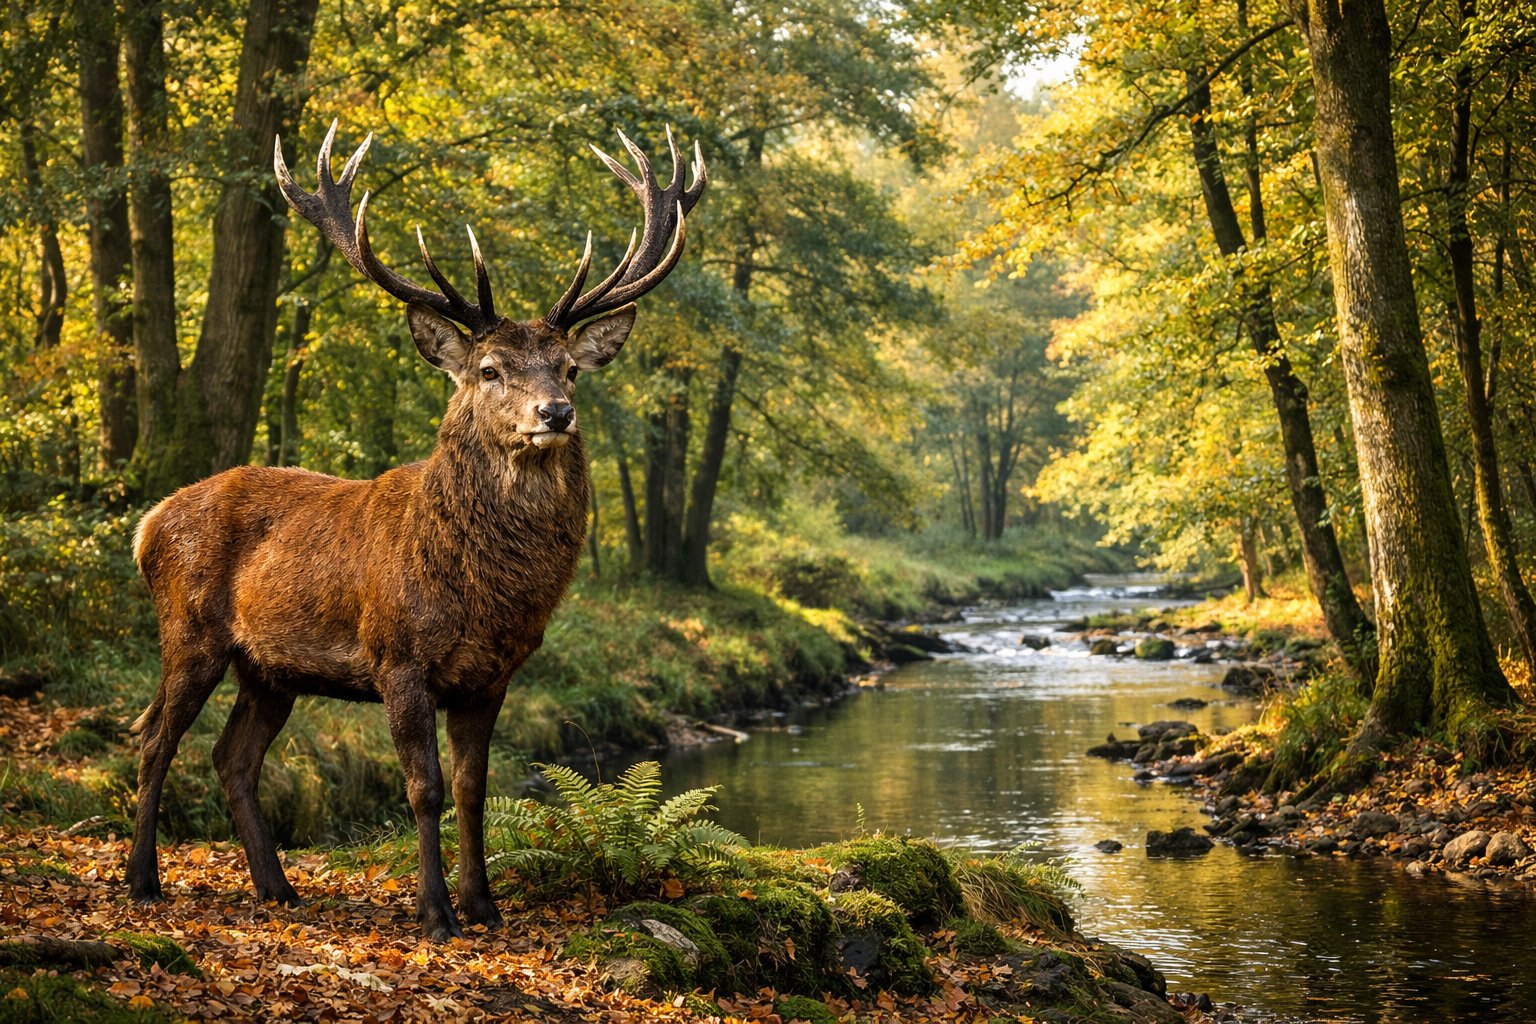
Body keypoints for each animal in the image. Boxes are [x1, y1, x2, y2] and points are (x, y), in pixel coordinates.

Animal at [125, 121, 706, 940]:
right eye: (490, 369)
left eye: (569, 367)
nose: (555, 413)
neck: (483, 592)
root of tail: (147, 525)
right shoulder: (398, 657)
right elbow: (423, 788)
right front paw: (436, 912)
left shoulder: (492, 674)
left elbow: (473, 787)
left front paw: (484, 904)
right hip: (189, 629)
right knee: (154, 736)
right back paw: (143, 880)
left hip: (269, 668)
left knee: (233, 756)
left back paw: (276, 888)